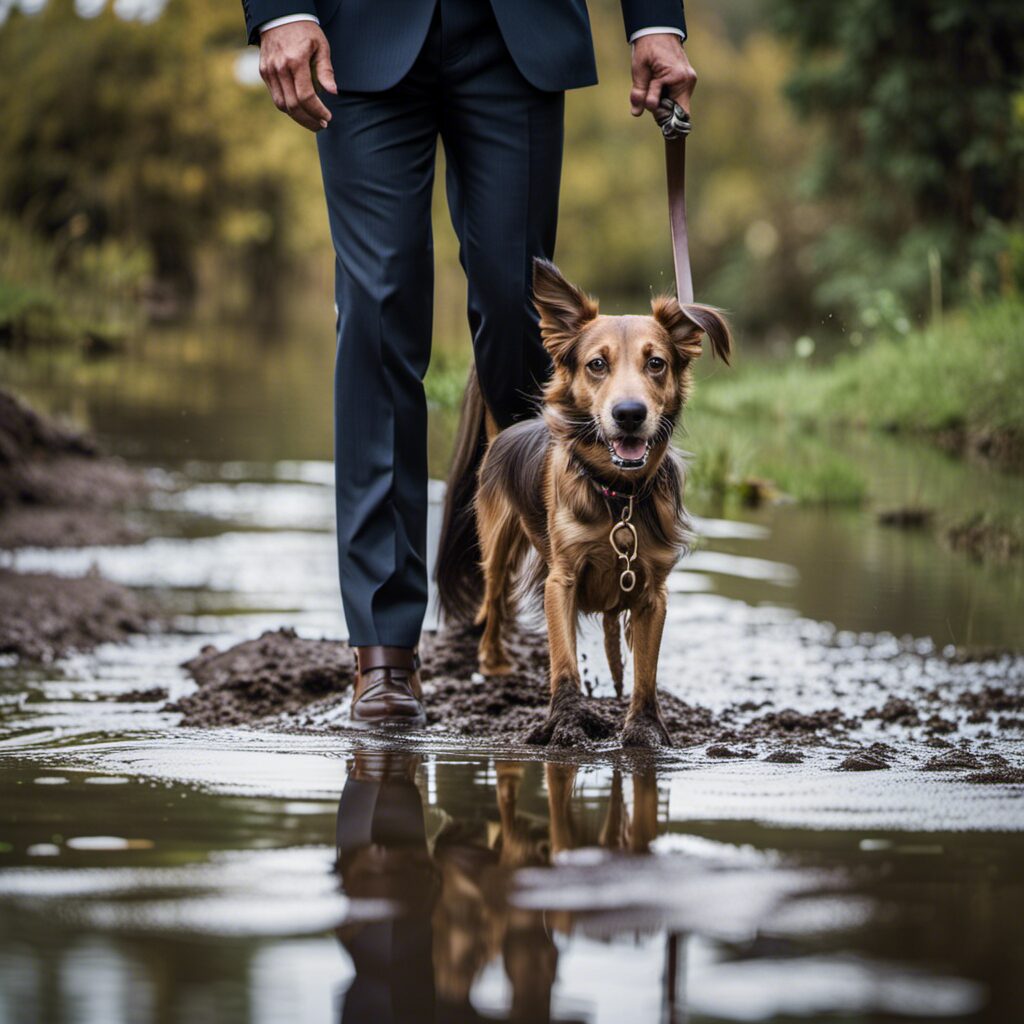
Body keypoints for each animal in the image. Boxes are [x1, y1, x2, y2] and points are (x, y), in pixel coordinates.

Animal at [436, 260, 733, 749]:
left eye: (656, 363)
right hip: (497, 545)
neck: (618, 495)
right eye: (597, 364)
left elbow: (646, 672)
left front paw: (644, 729)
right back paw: (494, 663)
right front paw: (567, 721)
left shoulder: (653, 592)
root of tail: (507, 433)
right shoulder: (562, 580)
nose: (629, 414)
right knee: (494, 603)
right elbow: (564, 662)